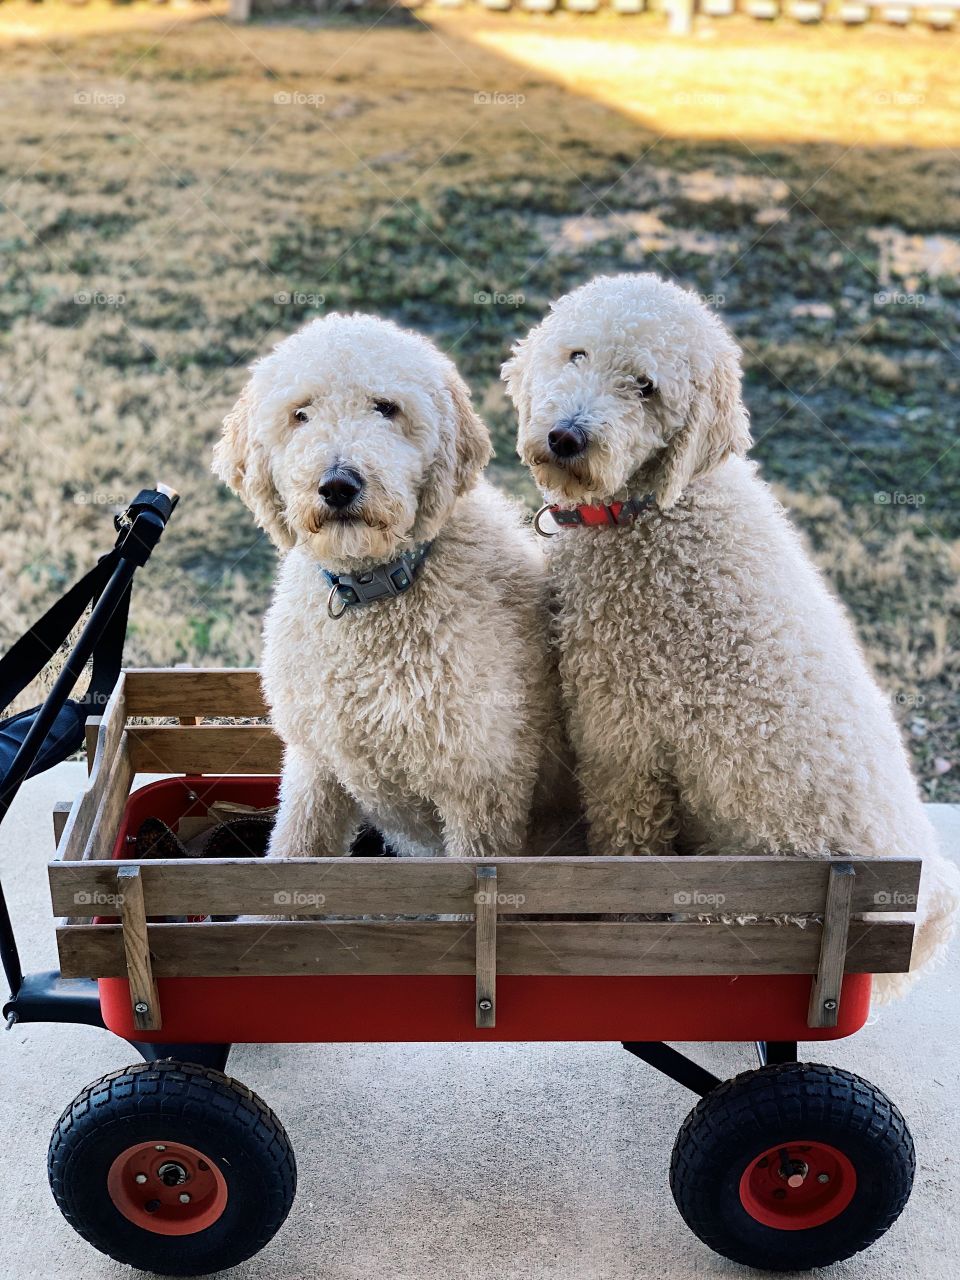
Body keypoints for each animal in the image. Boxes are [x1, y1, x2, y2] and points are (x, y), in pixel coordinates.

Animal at [213, 314, 576, 865]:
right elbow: (296, 845)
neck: (373, 595)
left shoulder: (482, 787)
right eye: (301, 414)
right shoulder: (316, 763)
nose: (338, 484)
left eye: (386, 408)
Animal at [506, 272, 957, 998]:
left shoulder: (623, 738)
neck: (655, 509)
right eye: (576, 354)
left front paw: (612, 929)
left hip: (747, 904)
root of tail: (921, 909)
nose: (567, 437)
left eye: (646, 387)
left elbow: (626, 849)